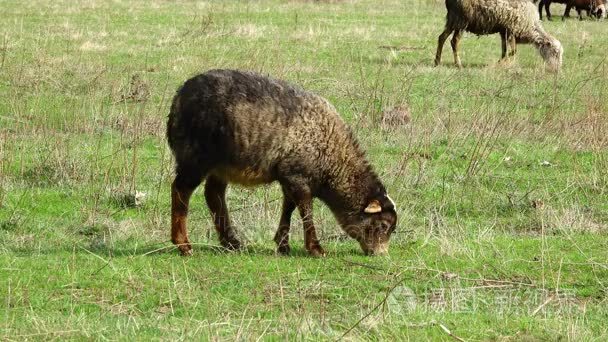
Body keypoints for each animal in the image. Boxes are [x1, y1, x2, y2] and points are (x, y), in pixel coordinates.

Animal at [165, 69, 400, 256]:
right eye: (383, 225)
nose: (381, 254)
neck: (332, 162)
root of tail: (179, 97)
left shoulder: (288, 176)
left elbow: (289, 207)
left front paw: (283, 245)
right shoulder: (298, 176)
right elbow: (306, 211)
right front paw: (315, 248)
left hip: (222, 164)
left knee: (213, 194)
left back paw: (231, 243)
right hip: (195, 157)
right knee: (180, 190)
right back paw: (183, 245)